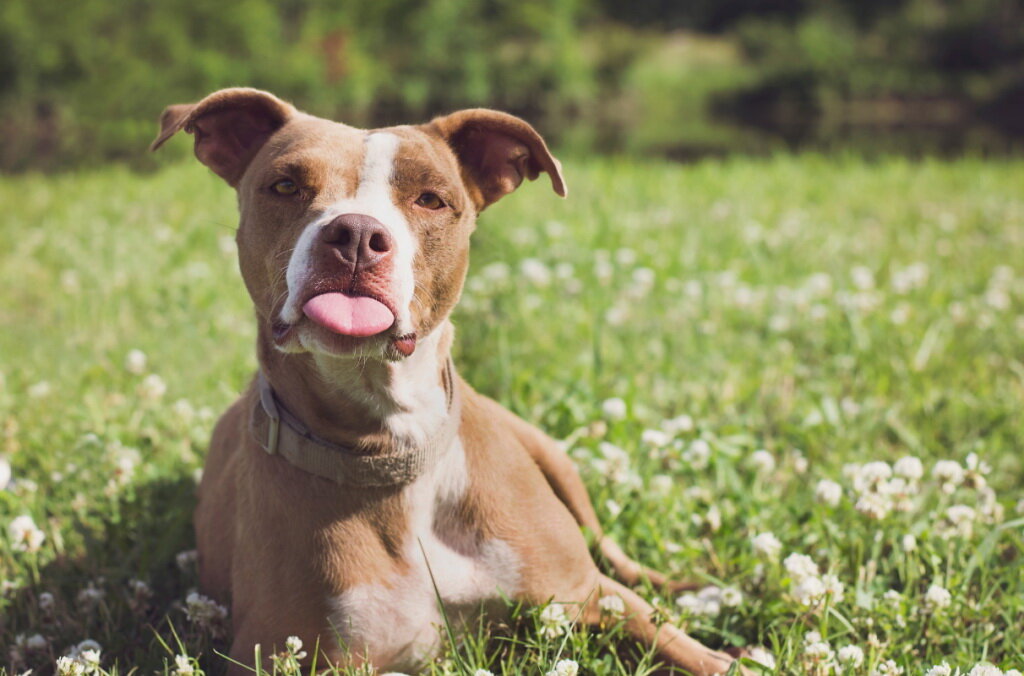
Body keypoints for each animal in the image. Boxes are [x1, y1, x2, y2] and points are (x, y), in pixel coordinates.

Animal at [149, 89, 745, 676]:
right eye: (286, 186)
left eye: (431, 200)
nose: (356, 233)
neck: (394, 445)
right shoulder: (283, 654)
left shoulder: (589, 592)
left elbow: (698, 655)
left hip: (555, 459)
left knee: (619, 556)